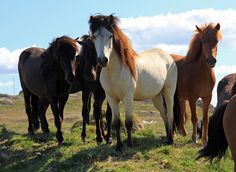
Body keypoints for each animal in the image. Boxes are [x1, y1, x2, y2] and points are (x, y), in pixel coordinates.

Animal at [89, 13, 183, 150]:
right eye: (94, 36)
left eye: (110, 36)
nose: (103, 60)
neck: (114, 72)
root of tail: (169, 57)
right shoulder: (112, 99)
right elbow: (116, 122)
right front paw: (119, 146)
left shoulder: (128, 98)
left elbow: (128, 122)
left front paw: (130, 144)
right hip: (156, 97)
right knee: (164, 114)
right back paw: (167, 136)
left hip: (168, 93)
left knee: (170, 114)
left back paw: (170, 140)